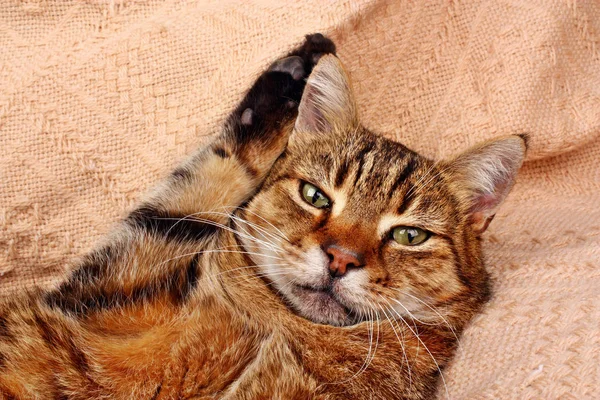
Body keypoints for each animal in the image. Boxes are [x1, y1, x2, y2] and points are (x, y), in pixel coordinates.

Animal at [0, 35, 524, 400]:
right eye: (315, 195)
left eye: (409, 235)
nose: (340, 259)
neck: (277, 327)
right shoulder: (100, 294)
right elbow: (218, 170)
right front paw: (298, 68)